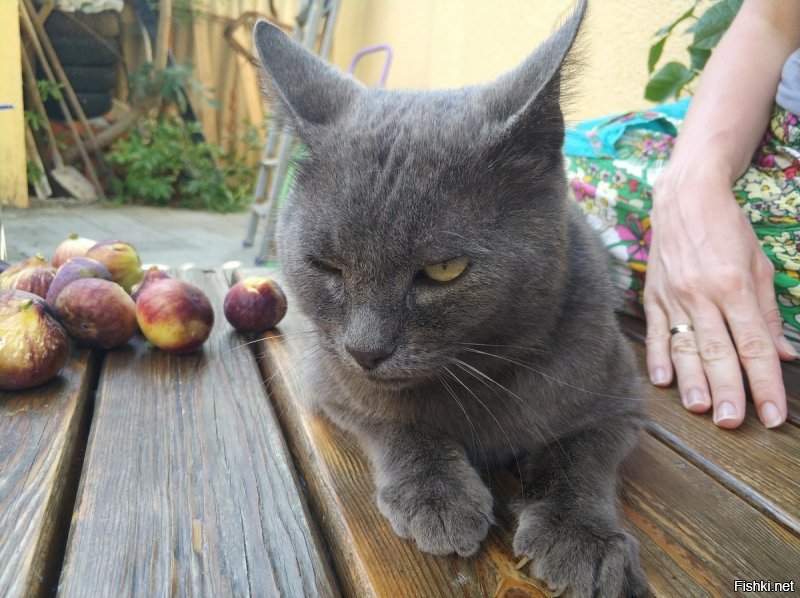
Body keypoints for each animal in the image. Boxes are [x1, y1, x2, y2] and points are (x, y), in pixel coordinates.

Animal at [256, 2, 648, 596]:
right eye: (325, 266)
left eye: (444, 270)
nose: (366, 350)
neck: (478, 380)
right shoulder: (328, 379)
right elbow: (394, 418)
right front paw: (437, 498)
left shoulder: (619, 394)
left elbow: (581, 452)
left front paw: (581, 536)